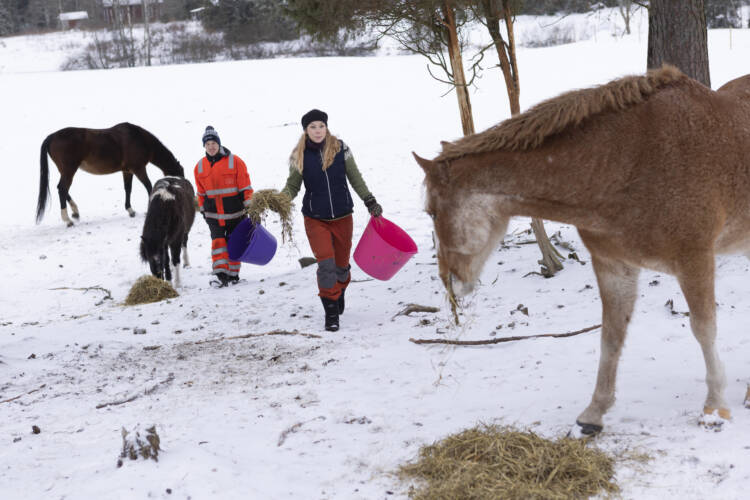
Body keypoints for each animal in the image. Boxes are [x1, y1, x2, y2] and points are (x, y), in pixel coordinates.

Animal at [36, 122, 186, 226]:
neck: (138, 138)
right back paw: (67, 220)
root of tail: (51, 137)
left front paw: (130, 210)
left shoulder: (127, 171)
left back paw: (75, 212)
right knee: (62, 188)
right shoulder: (139, 169)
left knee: (62, 188)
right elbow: (149, 186)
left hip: (66, 171)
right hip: (69, 170)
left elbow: (128, 189)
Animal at [414, 65, 750, 434]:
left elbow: (704, 329)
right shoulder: (613, 265)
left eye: (432, 212)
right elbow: (611, 336)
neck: (626, 163)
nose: (448, 281)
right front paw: (594, 413)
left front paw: (715, 407)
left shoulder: (695, 260)